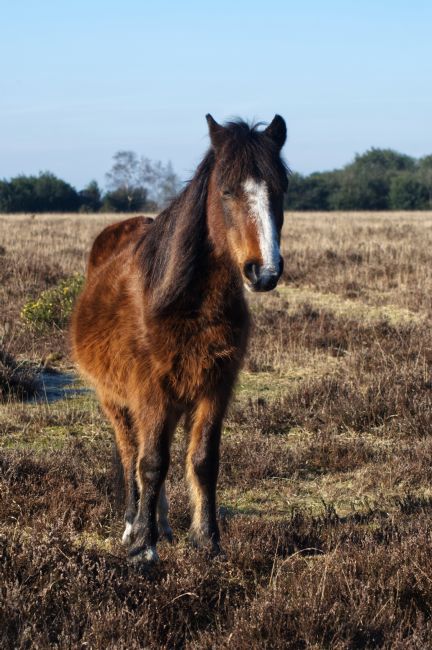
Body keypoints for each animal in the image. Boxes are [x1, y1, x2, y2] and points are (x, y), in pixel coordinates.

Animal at [71, 114, 289, 564]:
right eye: (226, 190)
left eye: (280, 189)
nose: (264, 271)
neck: (189, 304)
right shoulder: (151, 391)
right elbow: (151, 463)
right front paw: (143, 548)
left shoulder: (216, 387)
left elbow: (203, 461)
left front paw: (207, 542)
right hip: (114, 400)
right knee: (130, 455)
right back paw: (133, 524)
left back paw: (164, 524)